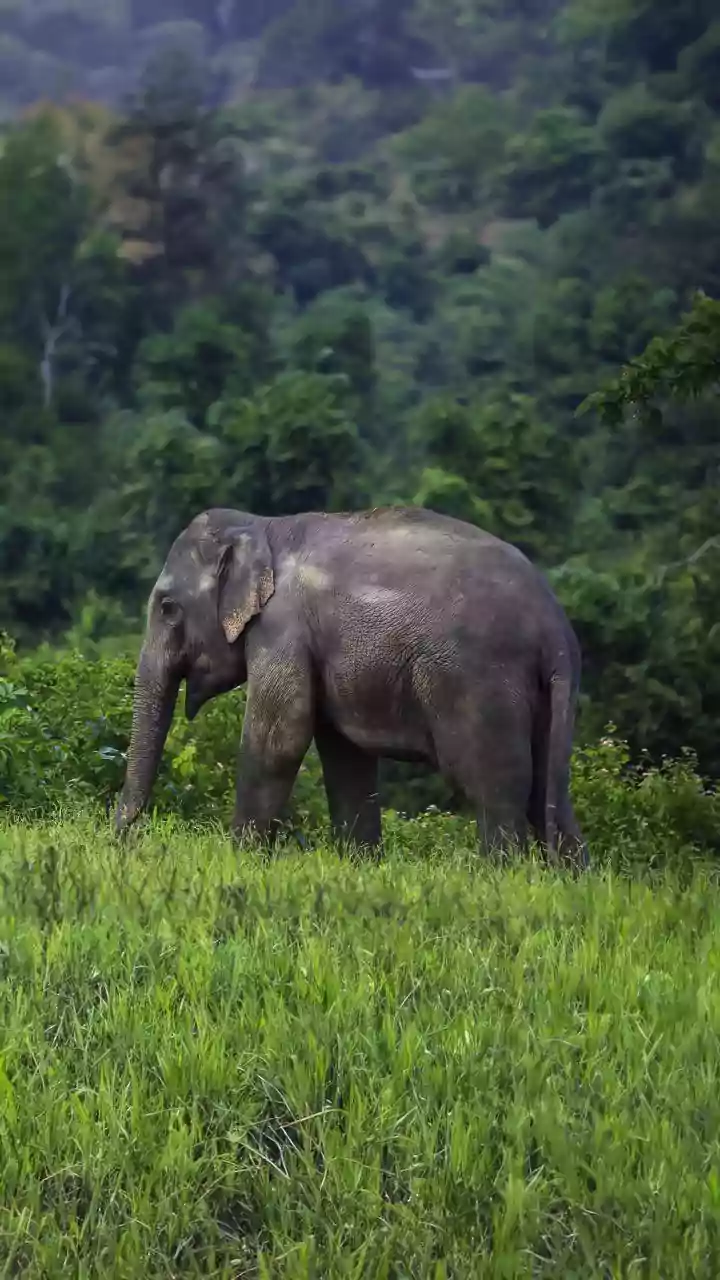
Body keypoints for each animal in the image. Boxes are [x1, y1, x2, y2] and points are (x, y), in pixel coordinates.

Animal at [114, 505, 588, 868]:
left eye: (168, 608)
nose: (123, 837)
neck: (262, 526)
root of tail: (554, 626)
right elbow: (344, 755)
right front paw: (360, 866)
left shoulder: (282, 628)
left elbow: (279, 738)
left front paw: (240, 860)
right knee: (548, 790)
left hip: (479, 681)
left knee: (493, 785)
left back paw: (502, 876)